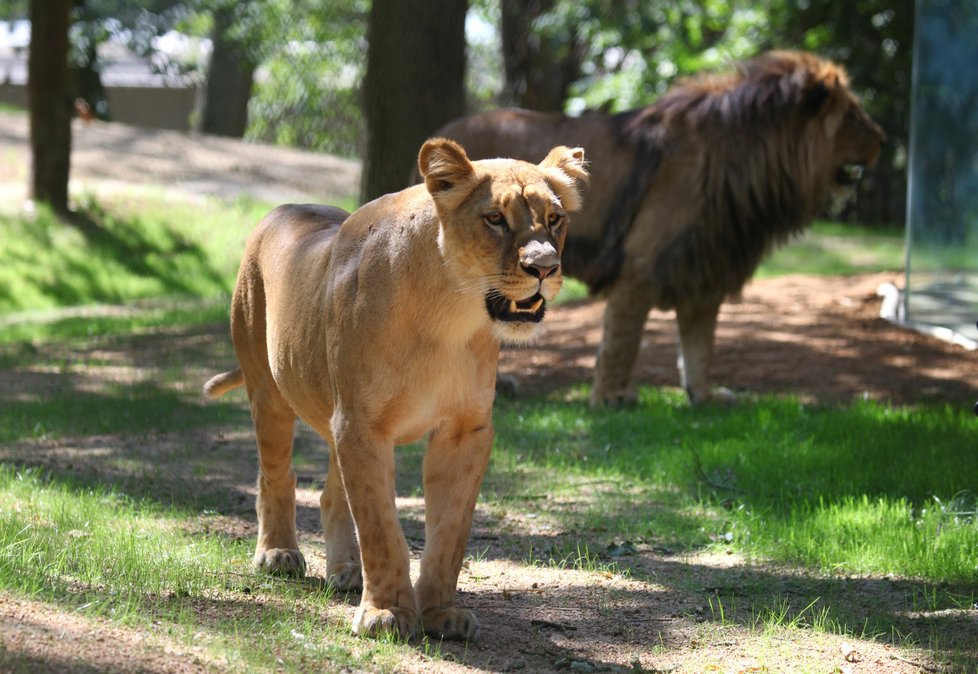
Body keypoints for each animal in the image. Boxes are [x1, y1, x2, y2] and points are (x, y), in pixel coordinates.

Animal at [202, 139, 584, 636]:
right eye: (495, 218)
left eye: (554, 219)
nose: (545, 268)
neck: (450, 314)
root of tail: (284, 208)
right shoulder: (361, 425)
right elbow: (381, 526)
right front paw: (386, 613)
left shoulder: (464, 430)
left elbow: (449, 532)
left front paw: (440, 612)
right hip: (269, 389)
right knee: (276, 473)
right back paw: (278, 553)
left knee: (331, 493)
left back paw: (345, 569)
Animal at [430, 50, 880, 404]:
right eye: (855, 116)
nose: (884, 138)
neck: (750, 160)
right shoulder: (641, 266)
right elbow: (622, 341)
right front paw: (609, 398)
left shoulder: (704, 265)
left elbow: (700, 344)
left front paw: (704, 396)